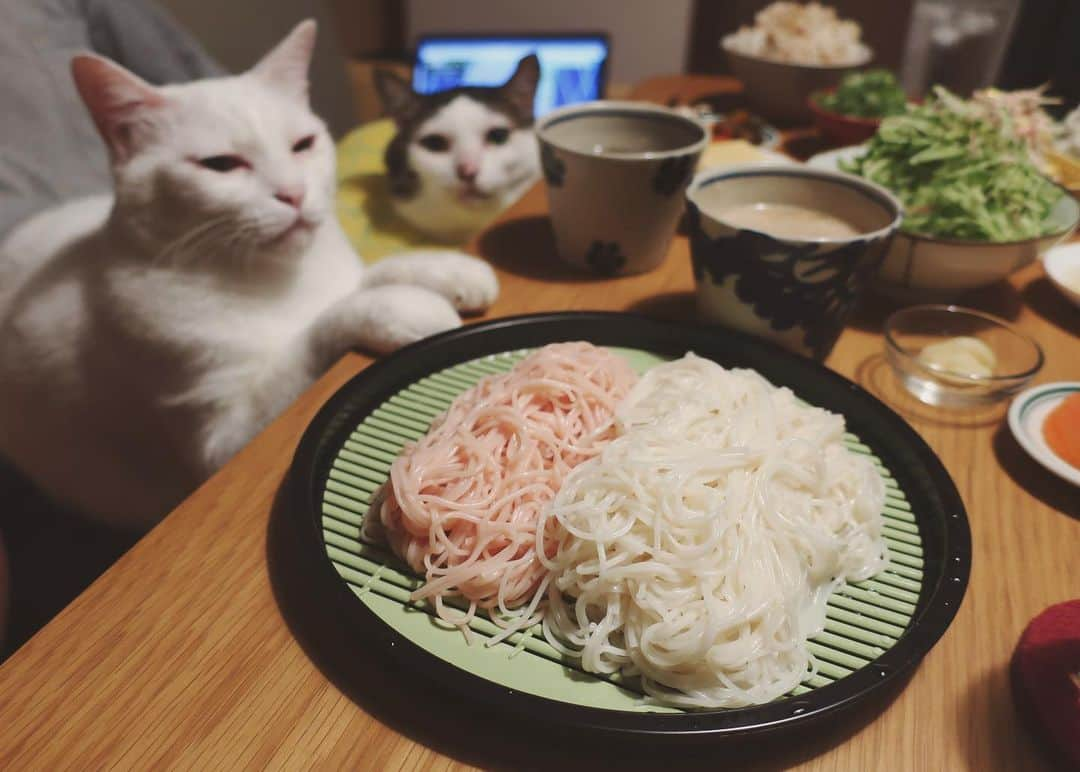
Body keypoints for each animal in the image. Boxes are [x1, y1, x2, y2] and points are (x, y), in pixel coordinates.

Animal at [0, 21, 498, 529]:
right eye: (220, 164)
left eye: (303, 145)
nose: (293, 194)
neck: (278, 277)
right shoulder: (224, 436)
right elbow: (321, 327)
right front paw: (409, 305)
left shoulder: (336, 276)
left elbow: (366, 276)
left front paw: (447, 267)